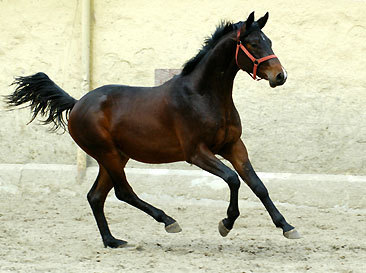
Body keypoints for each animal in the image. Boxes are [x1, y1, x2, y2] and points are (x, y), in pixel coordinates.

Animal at [5, 12, 300, 246]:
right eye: (253, 43)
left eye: (269, 41)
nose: (280, 76)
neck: (203, 96)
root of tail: (77, 103)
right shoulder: (197, 153)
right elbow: (233, 179)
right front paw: (226, 224)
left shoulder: (233, 146)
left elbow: (258, 185)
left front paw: (287, 227)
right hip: (108, 154)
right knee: (123, 192)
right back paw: (168, 221)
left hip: (115, 156)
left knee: (96, 196)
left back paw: (112, 241)